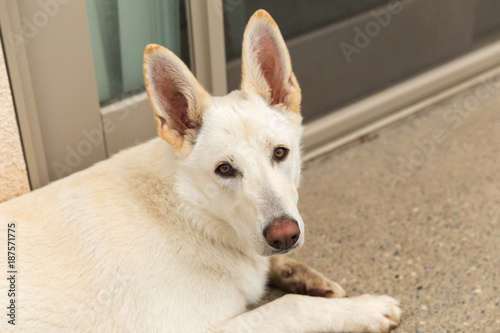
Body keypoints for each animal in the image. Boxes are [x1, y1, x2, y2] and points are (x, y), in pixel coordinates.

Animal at [0, 9, 398, 330]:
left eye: (280, 153)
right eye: (224, 170)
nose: (285, 236)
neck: (188, 213)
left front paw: (303, 276)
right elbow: (291, 308)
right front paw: (364, 308)